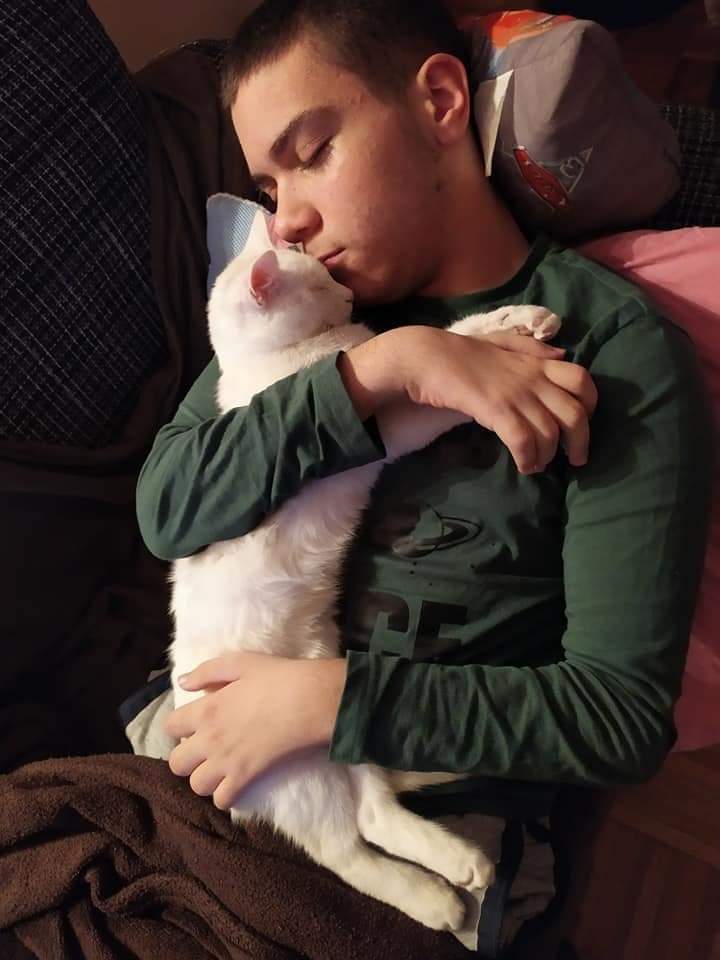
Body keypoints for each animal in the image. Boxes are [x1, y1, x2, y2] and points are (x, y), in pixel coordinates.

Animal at [170, 247, 561, 932]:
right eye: (323, 283)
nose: (352, 298)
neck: (268, 363)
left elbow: (444, 336)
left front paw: (517, 322)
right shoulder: (386, 423)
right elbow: (435, 347)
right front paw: (492, 345)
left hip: (331, 719)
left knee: (376, 812)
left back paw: (463, 866)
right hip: (293, 767)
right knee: (347, 849)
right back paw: (436, 900)